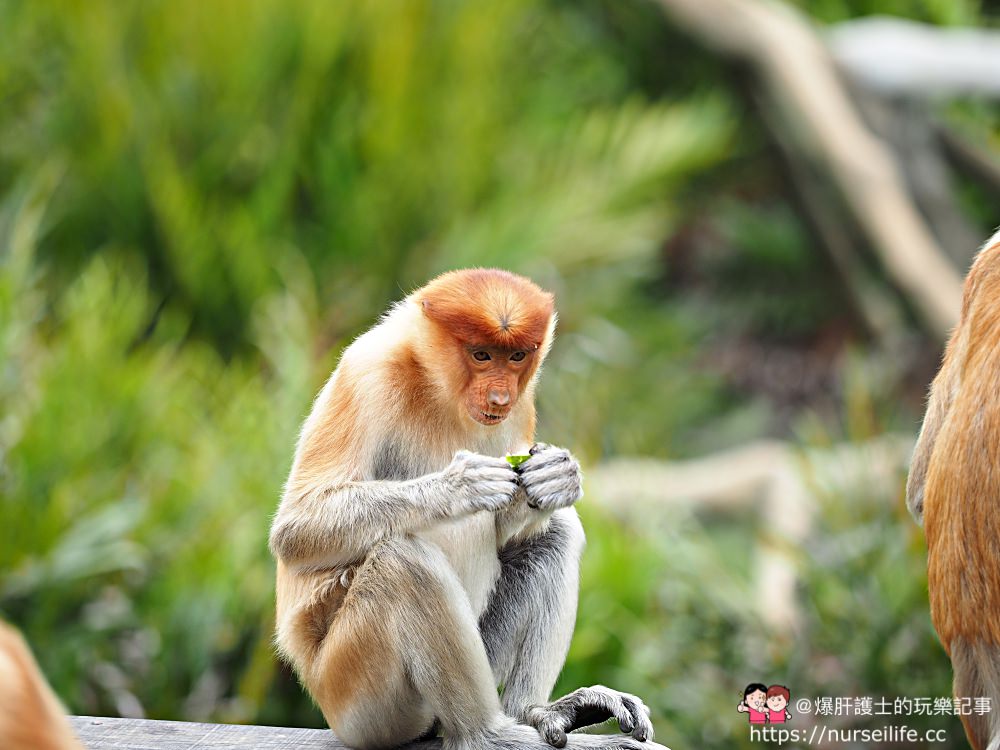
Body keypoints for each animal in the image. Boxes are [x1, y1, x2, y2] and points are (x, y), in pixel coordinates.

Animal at [270, 270, 668, 750]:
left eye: (516, 357)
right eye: (480, 355)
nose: (499, 398)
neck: (438, 388)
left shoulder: (522, 408)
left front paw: (555, 477)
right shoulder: (367, 373)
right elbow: (296, 527)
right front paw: (463, 484)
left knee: (556, 535)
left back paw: (538, 711)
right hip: (356, 697)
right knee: (402, 565)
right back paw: (489, 734)